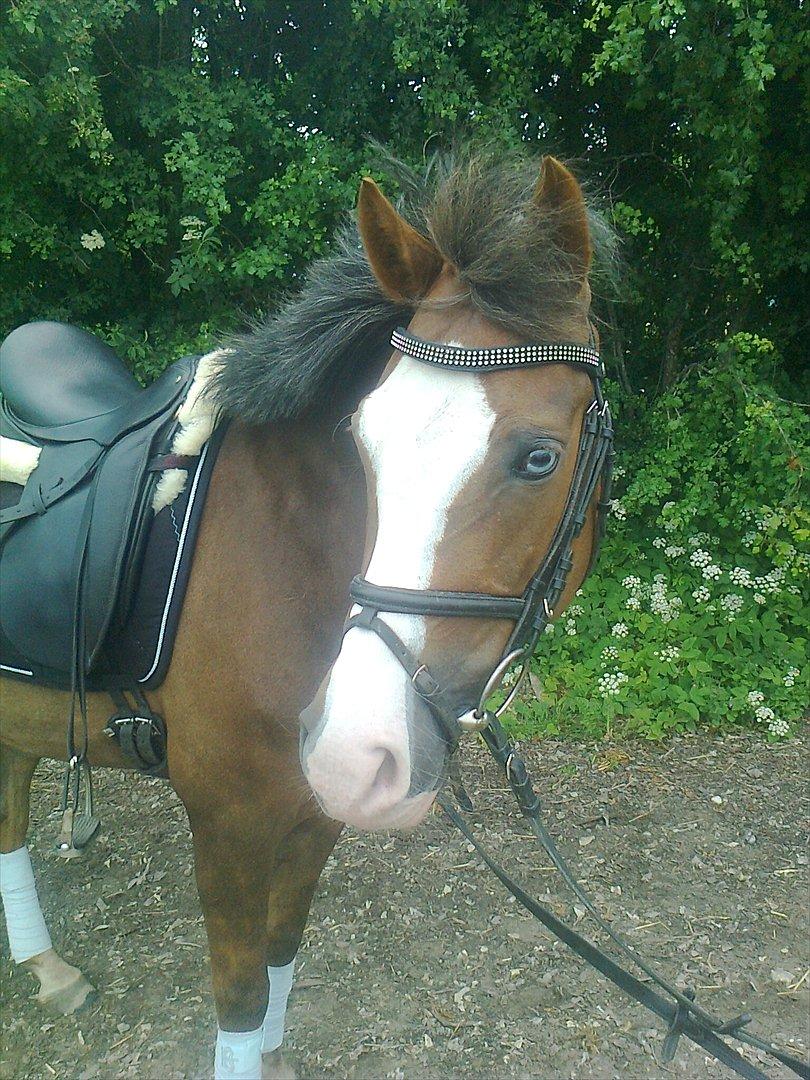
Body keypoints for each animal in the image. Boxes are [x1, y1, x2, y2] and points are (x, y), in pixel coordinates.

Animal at [0, 146, 613, 1079]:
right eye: (361, 443)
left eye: (540, 457)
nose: (362, 750)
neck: (280, 552)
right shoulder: (229, 824)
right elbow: (241, 995)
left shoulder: (314, 813)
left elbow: (282, 955)